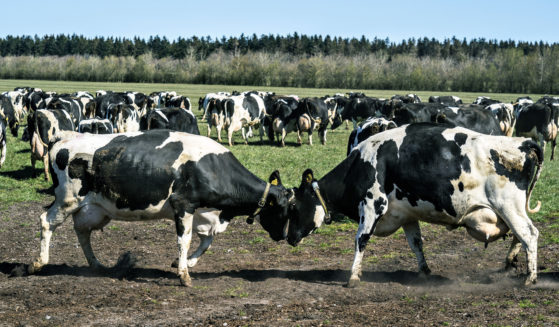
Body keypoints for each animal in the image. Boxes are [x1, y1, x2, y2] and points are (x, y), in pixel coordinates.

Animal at [28, 131, 294, 288]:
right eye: (285, 208)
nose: (285, 237)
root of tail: (64, 138)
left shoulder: (204, 213)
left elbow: (206, 241)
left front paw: (185, 263)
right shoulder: (183, 204)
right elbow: (185, 240)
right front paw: (184, 275)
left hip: (93, 209)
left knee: (82, 232)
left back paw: (96, 265)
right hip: (67, 199)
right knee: (46, 221)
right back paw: (38, 263)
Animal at [284, 124, 544, 288]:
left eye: (294, 206)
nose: (289, 238)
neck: (362, 164)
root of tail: (522, 142)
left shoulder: (372, 204)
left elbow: (361, 240)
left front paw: (353, 277)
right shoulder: (406, 214)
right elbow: (416, 243)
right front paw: (424, 271)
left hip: (508, 205)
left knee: (529, 234)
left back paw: (530, 279)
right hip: (511, 210)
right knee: (519, 236)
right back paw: (510, 262)